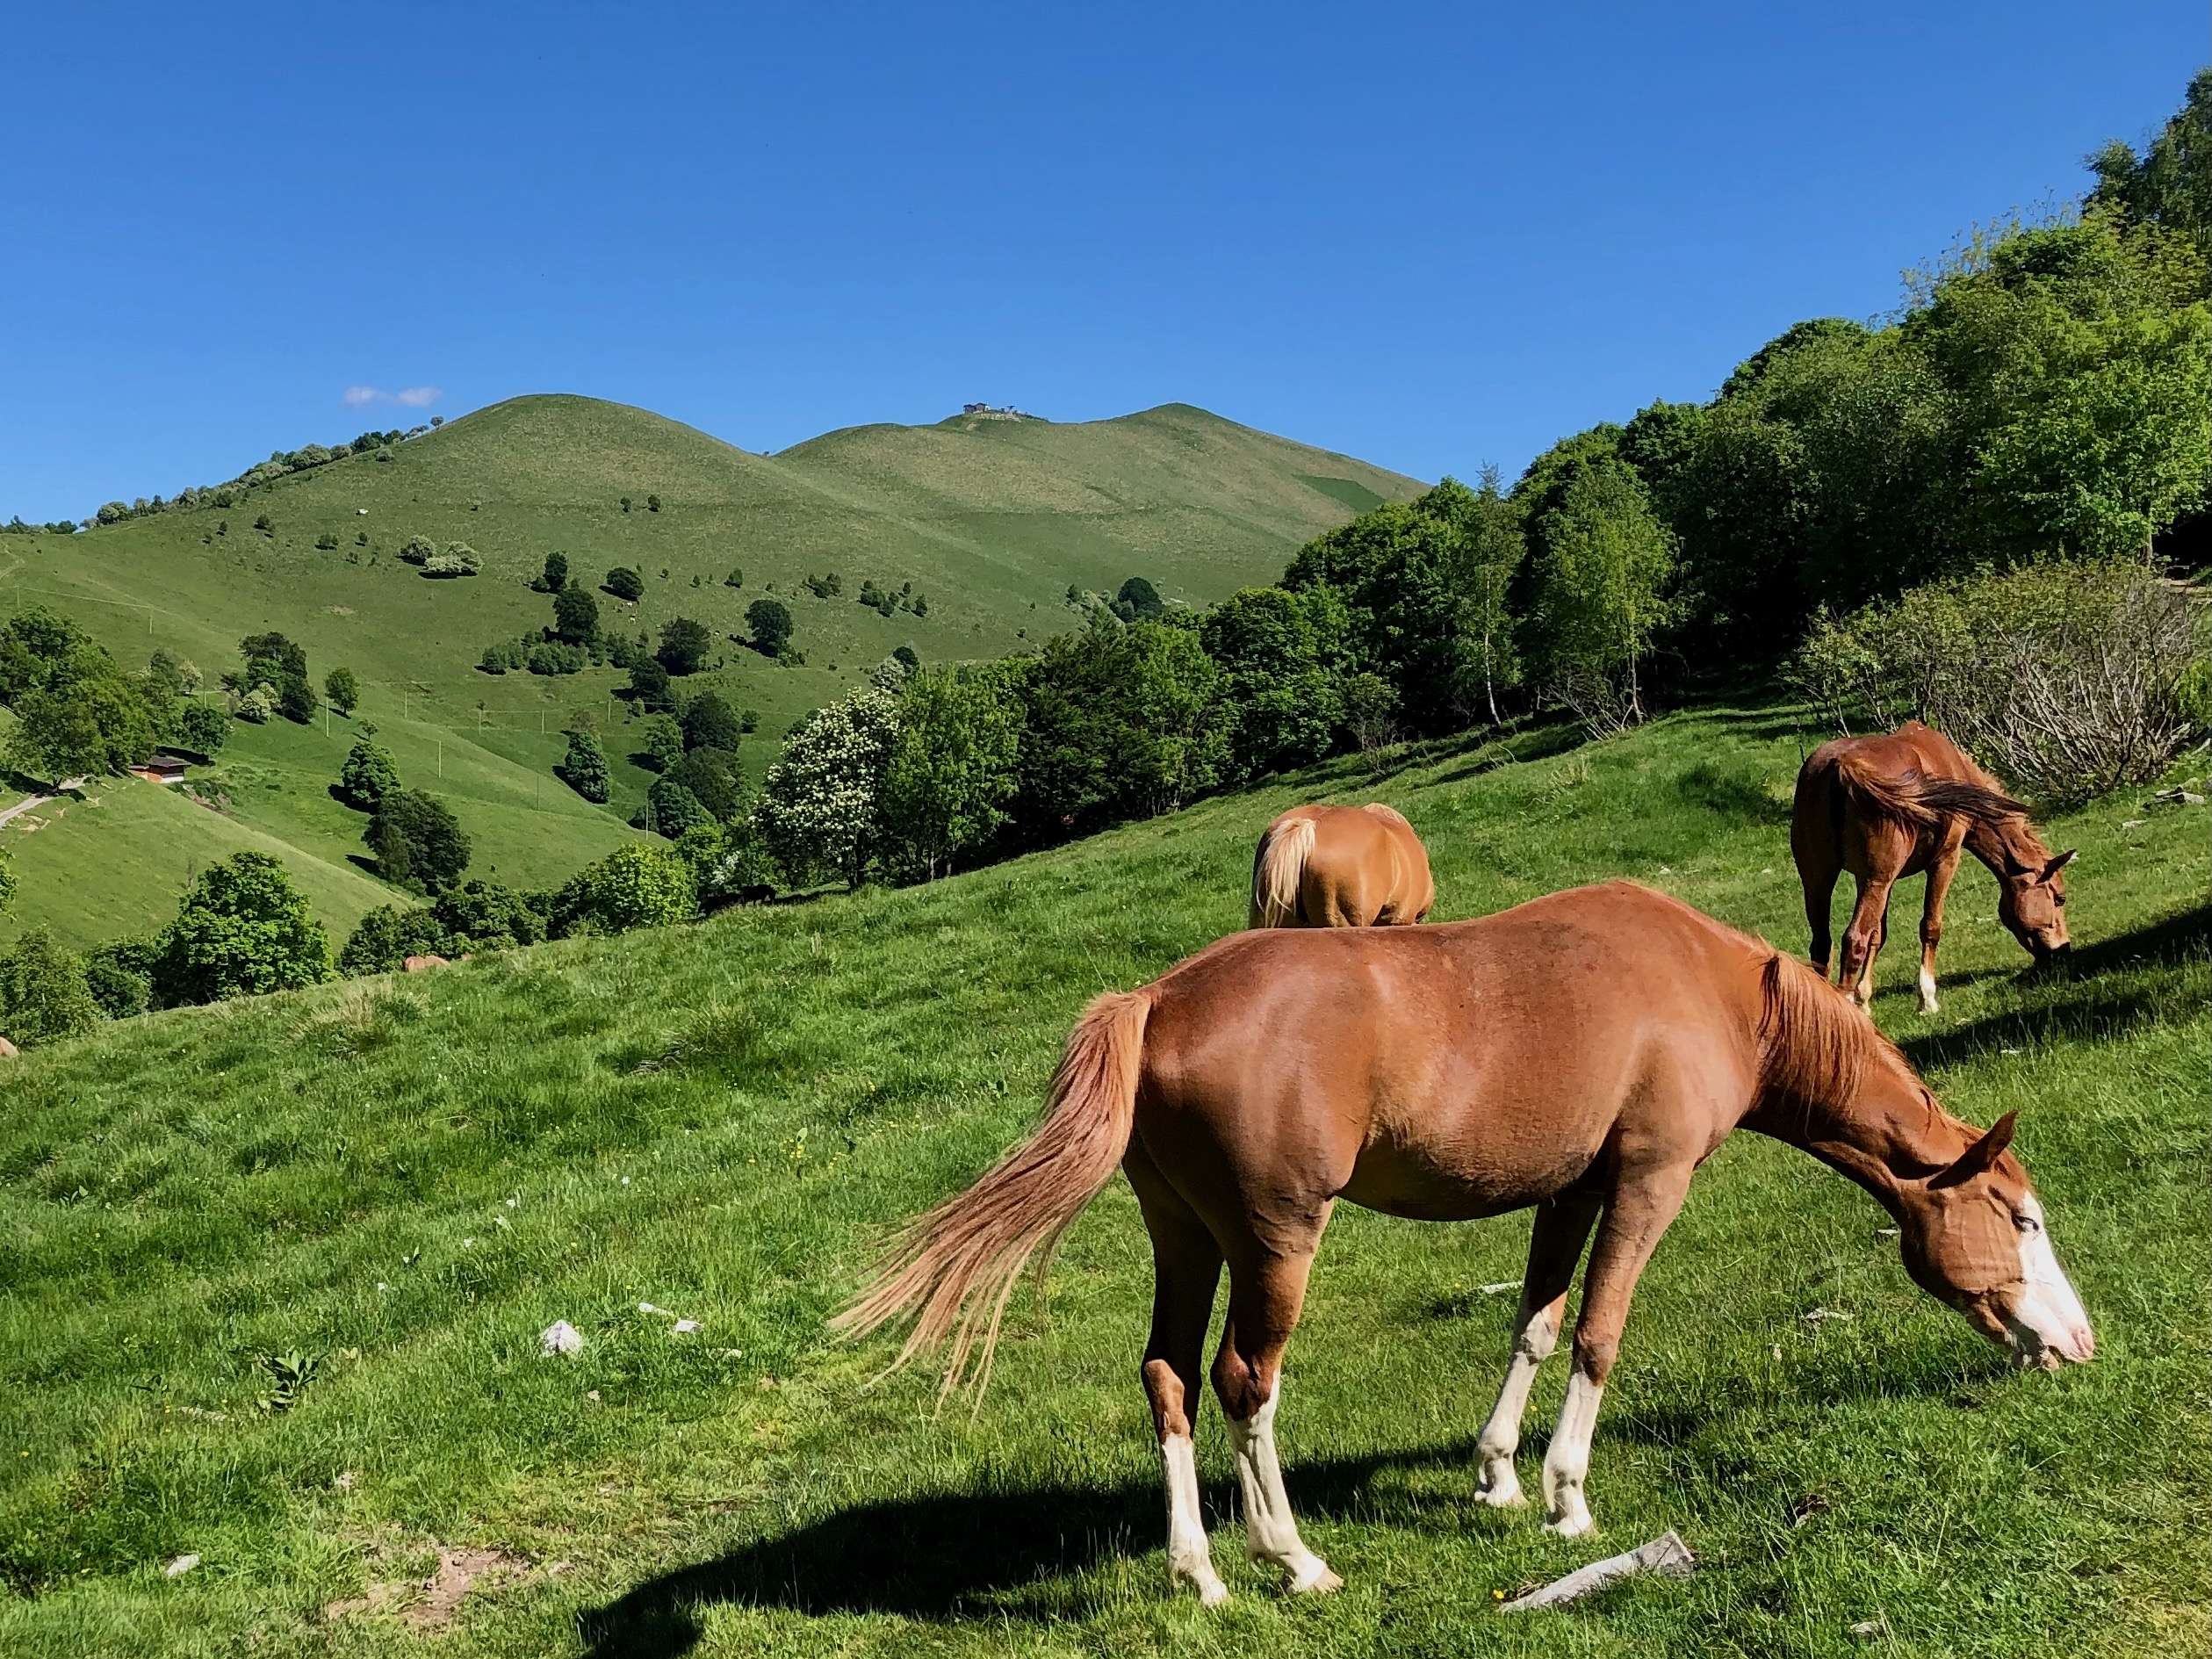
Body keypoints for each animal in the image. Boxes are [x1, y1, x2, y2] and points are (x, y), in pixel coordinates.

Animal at [837, 881, 2093, 1604]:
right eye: (2021, 1218)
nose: (2076, 1341)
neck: (1724, 993)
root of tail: (1157, 998)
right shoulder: (1647, 1184)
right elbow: (1597, 1334)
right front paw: (1566, 1495)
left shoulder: (1568, 1192)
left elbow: (1533, 1326)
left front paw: (1493, 1472)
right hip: (1274, 1243)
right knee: (1245, 1380)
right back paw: (1289, 1556)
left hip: (1183, 1237)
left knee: (1168, 1376)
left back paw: (1200, 1570)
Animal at [1792, 721, 2075, 1013]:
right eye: (2060, 898)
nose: (2063, 949)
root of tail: (1844, 766)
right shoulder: (1944, 861)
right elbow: (1930, 926)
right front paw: (1926, 998)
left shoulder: (1872, 879)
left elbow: (1878, 936)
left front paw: (1864, 998)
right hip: (1875, 880)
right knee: (1854, 939)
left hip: (1820, 879)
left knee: (1822, 945)